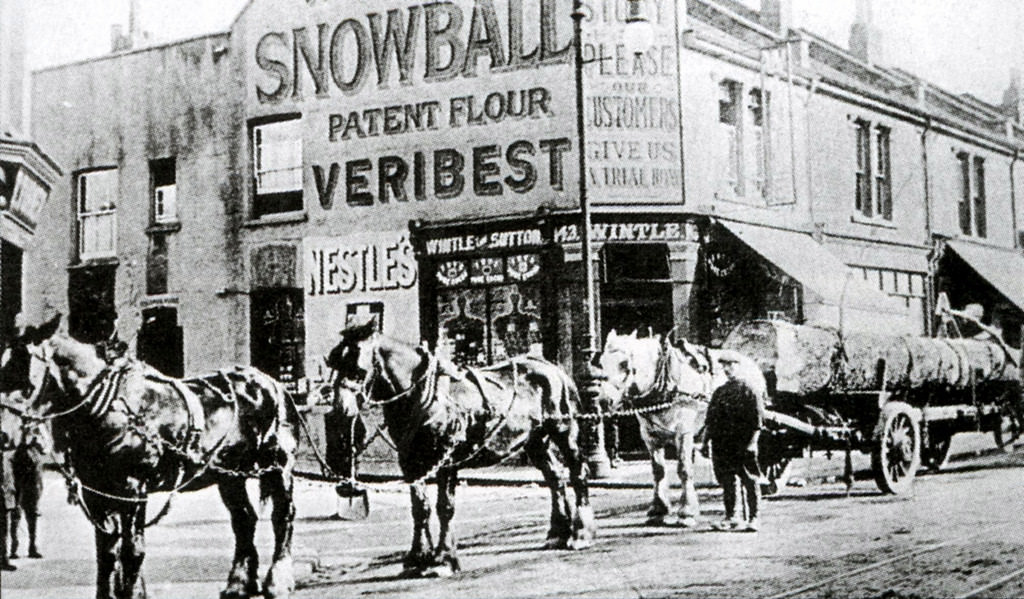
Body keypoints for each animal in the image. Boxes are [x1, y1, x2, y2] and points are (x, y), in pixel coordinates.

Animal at [4, 315, 296, 593]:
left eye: (22, 369)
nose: (4, 434)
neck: (115, 409)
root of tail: (271, 382)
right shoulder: (97, 492)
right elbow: (107, 553)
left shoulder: (133, 489)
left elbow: (132, 551)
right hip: (230, 474)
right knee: (244, 519)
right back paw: (238, 584)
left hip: (278, 466)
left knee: (283, 515)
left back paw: (277, 580)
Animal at [331, 319, 598, 577]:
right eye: (334, 362)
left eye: (358, 367)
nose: (340, 409)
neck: (422, 397)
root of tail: (552, 367)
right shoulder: (411, 463)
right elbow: (420, 508)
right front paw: (417, 559)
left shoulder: (445, 460)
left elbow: (444, 507)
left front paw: (443, 560)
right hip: (535, 441)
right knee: (555, 478)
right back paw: (558, 534)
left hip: (564, 431)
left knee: (577, 473)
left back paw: (581, 534)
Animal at [598, 329, 765, 524]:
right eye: (601, 362)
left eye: (624, 363)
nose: (603, 401)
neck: (666, 383)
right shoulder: (650, 437)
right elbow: (658, 471)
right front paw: (658, 510)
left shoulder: (683, 434)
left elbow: (684, 470)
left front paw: (687, 512)